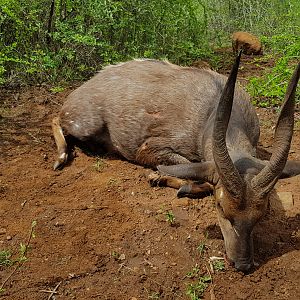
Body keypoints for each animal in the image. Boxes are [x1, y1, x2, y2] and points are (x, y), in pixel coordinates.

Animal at [52, 52, 300, 274]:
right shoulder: (150, 149)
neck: (209, 113)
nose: (243, 265)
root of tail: (85, 86)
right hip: (85, 125)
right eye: (221, 207)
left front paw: (163, 178)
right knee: (56, 118)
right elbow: (198, 177)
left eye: (261, 214)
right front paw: (160, 178)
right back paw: (61, 158)